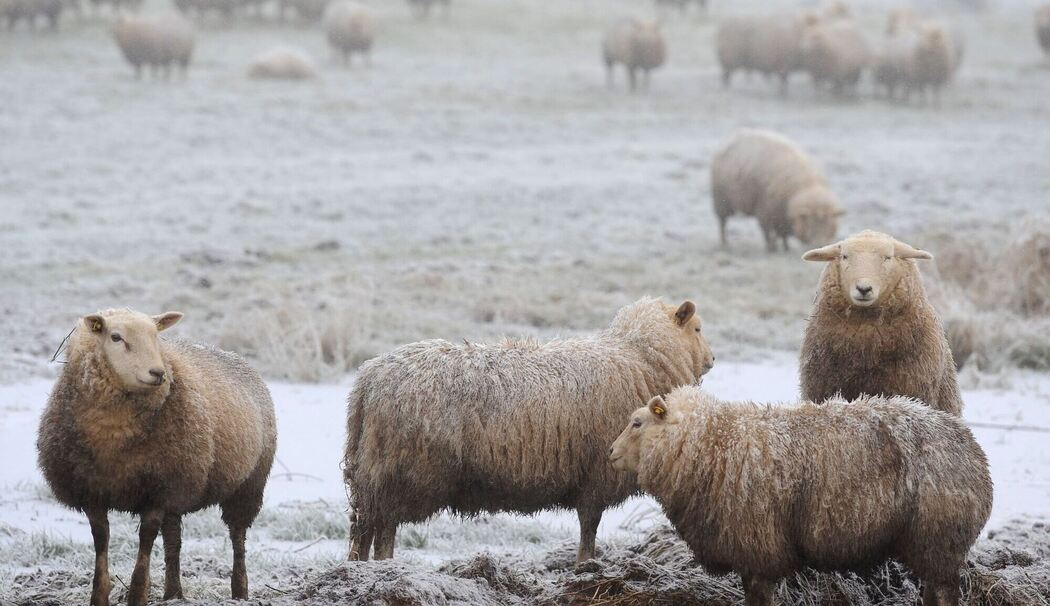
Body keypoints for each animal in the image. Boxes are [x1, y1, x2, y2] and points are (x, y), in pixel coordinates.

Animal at [37, 309, 277, 606]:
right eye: (115, 337)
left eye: (155, 336)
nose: (158, 373)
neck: (113, 437)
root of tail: (236, 356)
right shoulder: (92, 491)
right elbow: (101, 539)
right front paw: (99, 595)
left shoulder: (157, 490)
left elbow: (146, 539)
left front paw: (138, 594)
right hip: (180, 490)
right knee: (173, 540)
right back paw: (173, 593)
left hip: (247, 484)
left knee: (237, 537)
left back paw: (239, 591)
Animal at [344, 297, 715, 564]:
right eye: (697, 329)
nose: (713, 360)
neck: (638, 355)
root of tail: (368, 378)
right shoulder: (596, 473)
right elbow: (589, 528)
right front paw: (585, 566)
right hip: (400, 473)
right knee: (384, 529)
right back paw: (386, 567)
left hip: (369, 474)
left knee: (364, 529)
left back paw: (360, 569)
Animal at [609, 386, 992, 606]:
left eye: (637, 423)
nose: (610, 452)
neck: (713, 443)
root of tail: (974, 450)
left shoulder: (757, 548)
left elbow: (758, 599)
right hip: (933, 544)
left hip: (939, 537)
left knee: (945, 593)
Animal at [711, 128, 843, 253]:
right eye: (811, 225)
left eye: (830, 224)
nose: (820, 244)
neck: (804, 185)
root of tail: (732, 137)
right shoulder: (765, 211)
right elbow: (768, 232)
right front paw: (771, 248)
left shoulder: (782, 216)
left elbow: (783, 234)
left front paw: (786, 248)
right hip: (721, 201)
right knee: (722, 223)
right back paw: (724, 243)